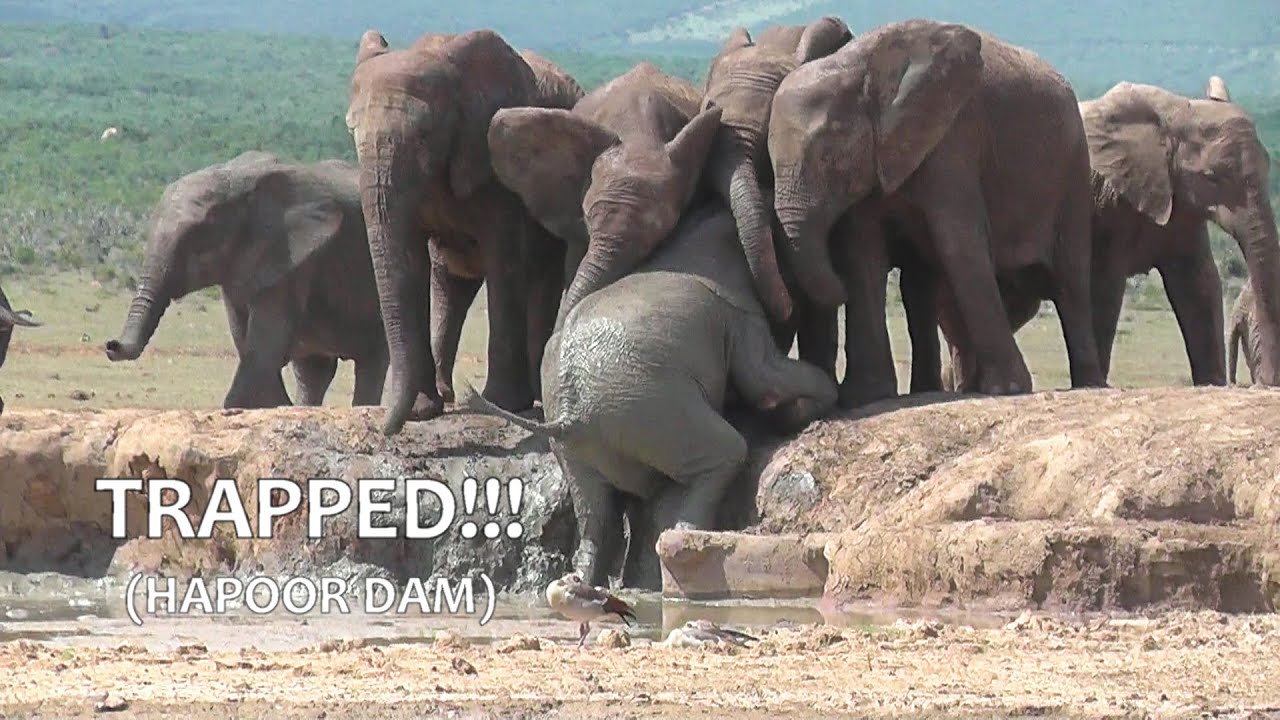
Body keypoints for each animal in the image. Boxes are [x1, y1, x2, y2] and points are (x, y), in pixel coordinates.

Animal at [104, 151, 388, 409]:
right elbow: (249, 345)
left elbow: (263, 350)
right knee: (314, 371)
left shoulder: (291, 260)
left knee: (372, 360)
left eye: (197, 236)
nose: (111, 345)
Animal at [463, 201, 838, 590]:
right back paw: (687, 540)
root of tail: (567, 417)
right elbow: (764, 375)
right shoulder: (738, 312)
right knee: (728, 450)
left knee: (595, 513)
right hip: (653, 410)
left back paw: (582, 582)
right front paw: (807, 404)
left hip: (582, 446)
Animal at [767, 18, 1106, 407]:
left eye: (828, 156)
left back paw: (1089, 385)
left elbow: (958, 241)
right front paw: (868, 397)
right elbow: (862, 253)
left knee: (1070, 280)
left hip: (1073, 169)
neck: (858, 69)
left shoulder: (953, 137)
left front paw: (1008, 390)